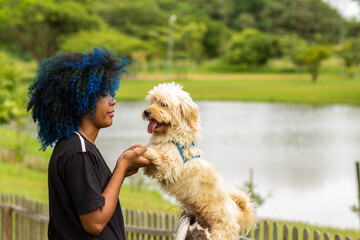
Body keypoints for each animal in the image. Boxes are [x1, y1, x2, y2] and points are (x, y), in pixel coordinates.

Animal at [142, 83, 258, 240]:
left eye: (163, 104)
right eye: (152, 101)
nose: (146, 112)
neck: (172, 137)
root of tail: (237, 215)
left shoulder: (169, 166)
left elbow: (156, 154)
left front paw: (142, 150)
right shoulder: (156, 169)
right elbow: (150, 165)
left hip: (218, 234)